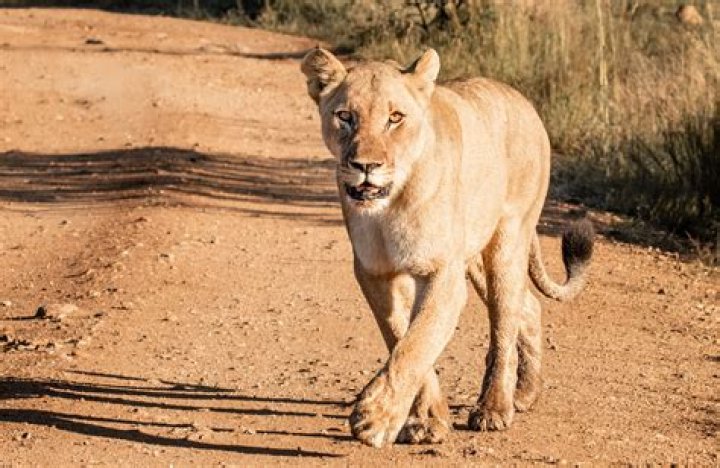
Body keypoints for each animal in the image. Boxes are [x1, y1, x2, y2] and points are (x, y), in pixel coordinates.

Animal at [300, 47, 594, 447]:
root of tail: (523, 101)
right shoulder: (375, 272)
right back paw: (525, 393)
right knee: (528, 307)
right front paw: (426, 419)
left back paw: (495, 407)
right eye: (345, 116)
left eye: (395, 118)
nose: (366, 165)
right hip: (473, 259)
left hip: (506, 242)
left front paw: (375, 417)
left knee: (504, 325)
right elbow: (400, 336)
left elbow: (418, 341)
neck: (388, 206)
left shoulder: (442, 273)